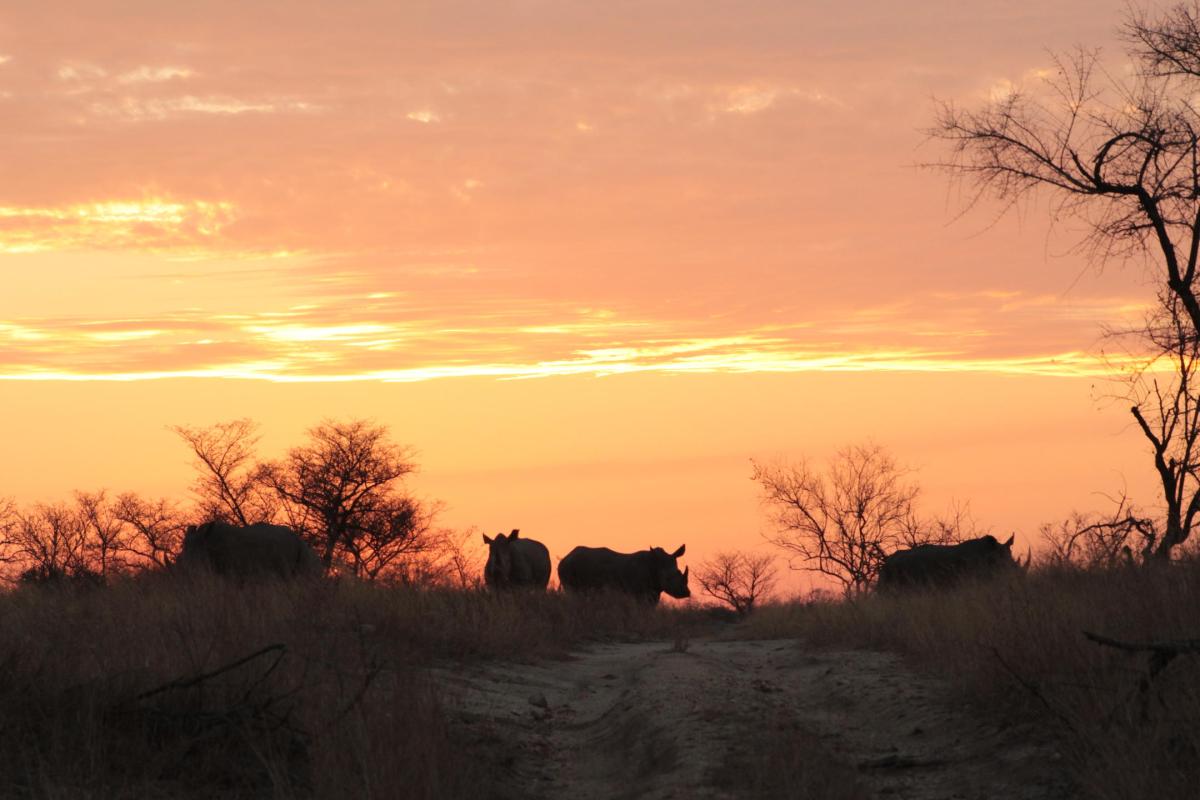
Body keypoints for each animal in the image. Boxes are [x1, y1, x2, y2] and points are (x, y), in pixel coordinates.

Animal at [557, 544, 689, 605]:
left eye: (679, 572)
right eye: (667, 578)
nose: (685, 593)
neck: (654, 565)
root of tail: (565, 557)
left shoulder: (654, 590)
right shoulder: (639, 592)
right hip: (568, 568)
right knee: (573, 593)